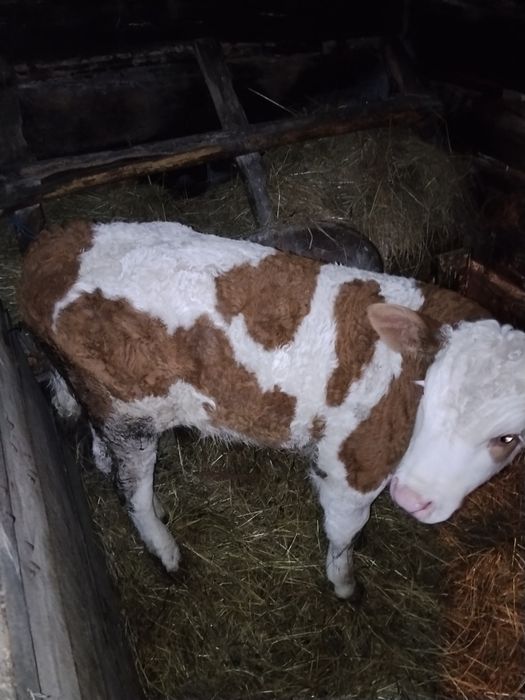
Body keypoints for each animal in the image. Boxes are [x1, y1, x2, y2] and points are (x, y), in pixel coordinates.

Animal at [18, 220, 525, 600]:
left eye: (509, 437)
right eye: (427, 392)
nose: (413, 499)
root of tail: (50, 247)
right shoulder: (354, 464)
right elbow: (345, 531)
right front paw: (345, 584)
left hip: (104, 398)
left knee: (103, 454)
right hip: (130, 413)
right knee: (131, 490)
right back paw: (166, 551)